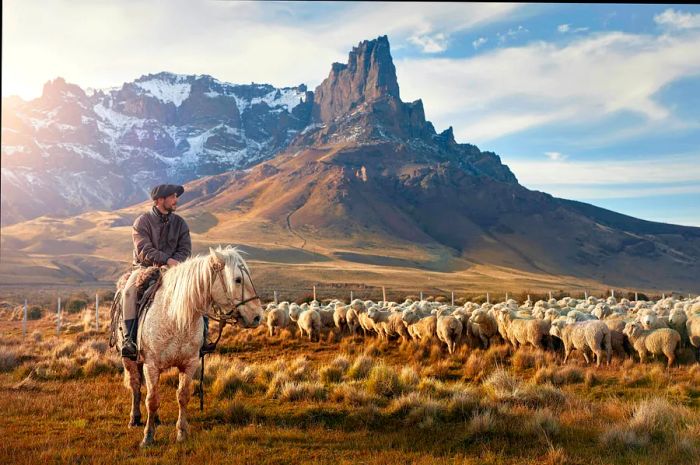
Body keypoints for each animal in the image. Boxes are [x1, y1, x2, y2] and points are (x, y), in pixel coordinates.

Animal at [115, 246, 262, 446]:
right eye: (237, 279)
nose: (257, 316)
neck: (176, 318)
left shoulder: (190, 363)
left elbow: (182, 396)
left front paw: (181, 432)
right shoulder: (151, 365)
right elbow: (151, 399)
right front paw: (148, 436)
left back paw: (156, 419)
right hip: (129, 360)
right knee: (135, 385)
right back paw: (135, 418)